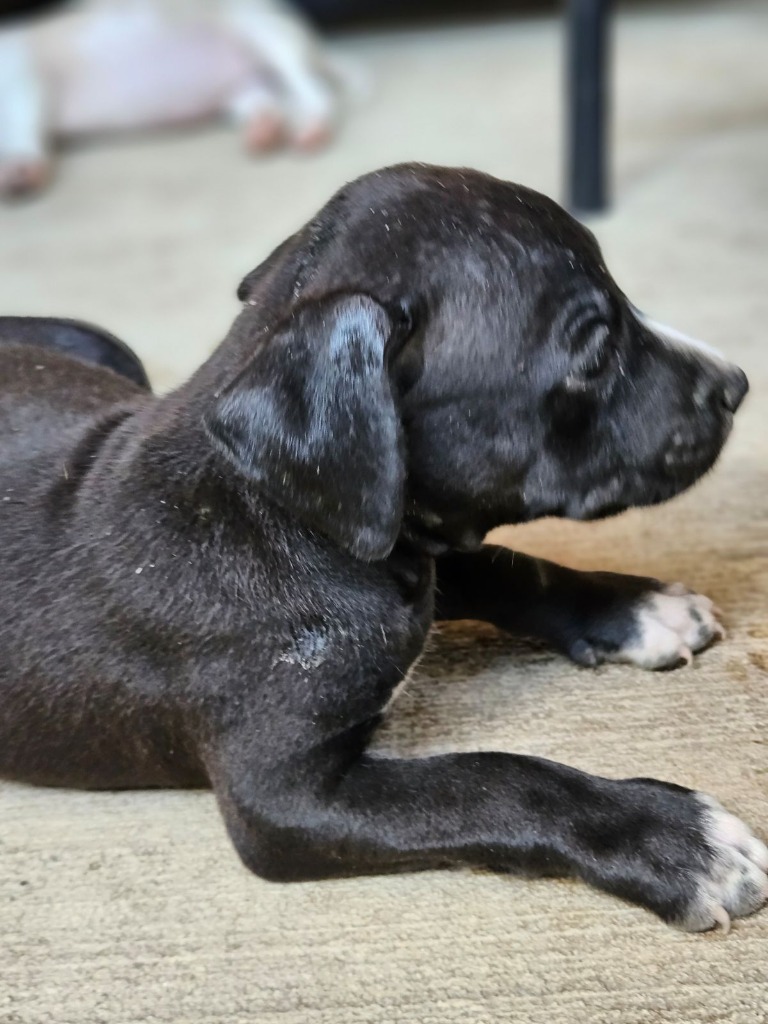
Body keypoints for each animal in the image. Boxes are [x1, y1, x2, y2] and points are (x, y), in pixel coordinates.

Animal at [1, 163, 768, 933]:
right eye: (597, 353)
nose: (736, 385)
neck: (287, 515)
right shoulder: (286, 800)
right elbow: (494, 780)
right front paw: (671, 839)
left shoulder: (425, 545)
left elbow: (518, 571)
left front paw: (638, 607)